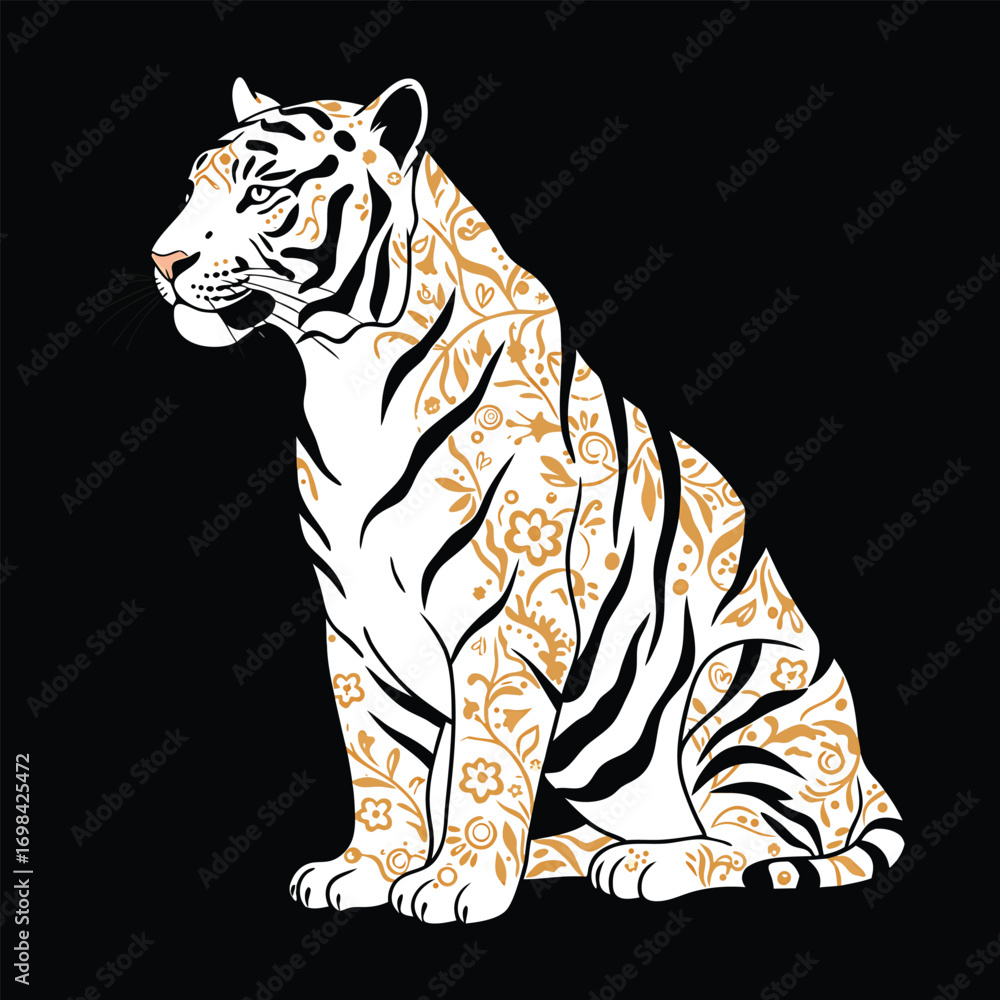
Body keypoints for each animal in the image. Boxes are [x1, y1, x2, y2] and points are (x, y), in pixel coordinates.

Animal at [150, 77, 903, 923]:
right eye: (191, 190)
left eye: (261, 192)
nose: (163, 258)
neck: (346, 374)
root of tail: (866, 768)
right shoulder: (356, 626)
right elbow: (379, 758)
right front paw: (370, 869)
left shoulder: (505, 622)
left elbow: (485, 763)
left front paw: (454, 884)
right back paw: (573, 854)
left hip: (742, 697)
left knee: (759, 839)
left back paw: (649, 866)